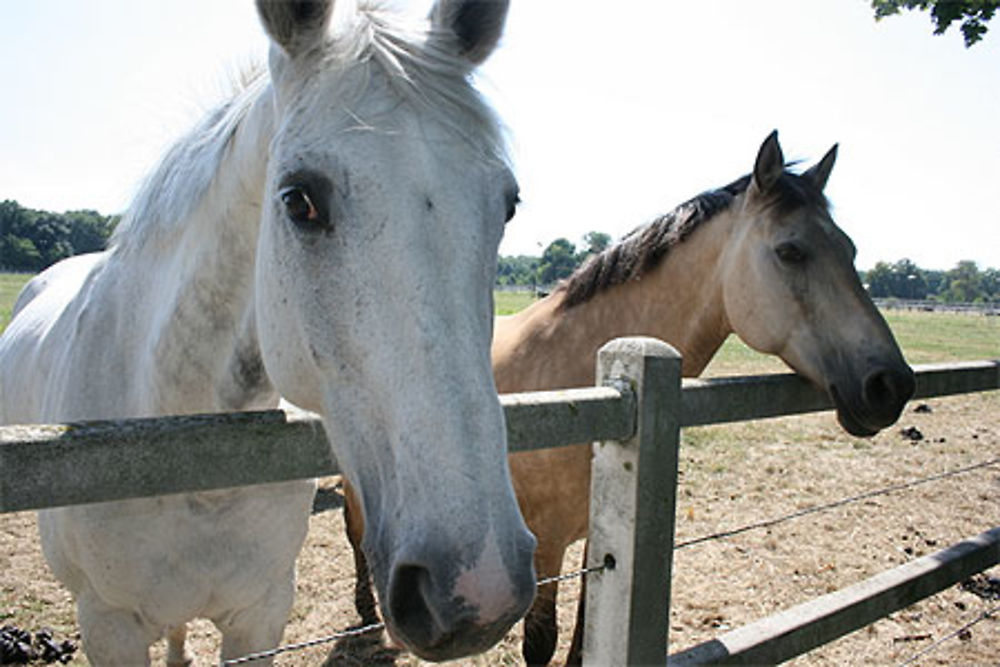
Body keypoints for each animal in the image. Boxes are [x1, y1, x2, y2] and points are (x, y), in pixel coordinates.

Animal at [344, 130, 916, 664]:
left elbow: (582, 637)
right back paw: (368, 613)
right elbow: (540, 643)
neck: (590, 389)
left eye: (850, 250)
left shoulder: (596, 537)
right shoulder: (544, 544)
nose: (892, 384)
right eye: (790, 251)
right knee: (356, 532)